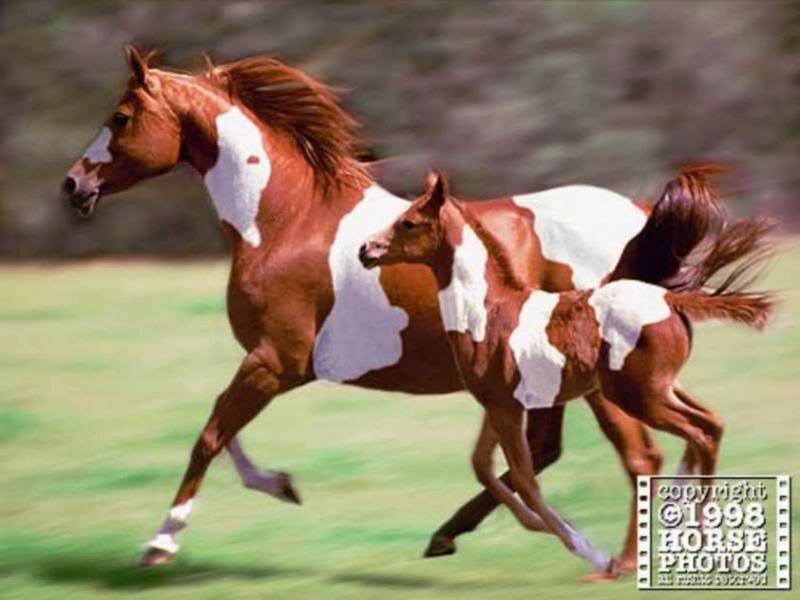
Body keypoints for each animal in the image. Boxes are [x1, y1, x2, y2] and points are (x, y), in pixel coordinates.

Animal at [63, 45, 732, 569]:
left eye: (120, 117)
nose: (73, 184)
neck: (284, 219)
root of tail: (641, 216)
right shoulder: (271, 363)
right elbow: (225, 434)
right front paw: (283, 486)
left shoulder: (275, 360)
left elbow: (208, 436)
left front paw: (161, 543)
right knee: (555, 452)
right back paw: (449, 537)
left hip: (607, 387)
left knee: (639, 457)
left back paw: (611, 559)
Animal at [358, 171, 773, 575]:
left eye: (408, 222)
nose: (366, 250)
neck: (490, 312)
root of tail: (670, 298)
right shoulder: (498, 404)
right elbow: (483, 467)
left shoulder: (505, 408)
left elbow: (524, 480)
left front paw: (588, 550)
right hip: (661, 388)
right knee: (710, 424)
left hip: (639, 397)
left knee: (694, 436)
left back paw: (665, 544)